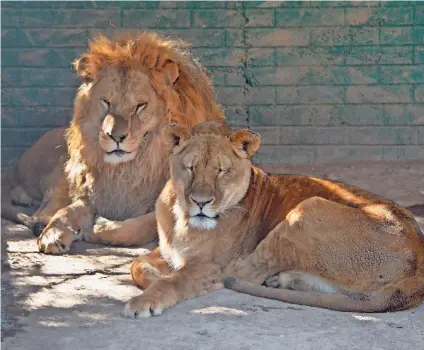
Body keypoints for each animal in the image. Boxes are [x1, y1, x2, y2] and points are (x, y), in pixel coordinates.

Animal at [0, 31, 225, 253]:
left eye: (140, 106)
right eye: (106, 102)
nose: (115, 137)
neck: (130, 169)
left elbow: (140, 227)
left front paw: (95, 229)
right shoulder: (92, 193)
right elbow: (66, 211)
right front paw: (53, 233)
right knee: (41, 204)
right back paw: (40, 221)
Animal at [121, 122, 422, 318]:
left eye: (222, 170)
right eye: (190, 167)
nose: (201, 202)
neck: (181, 218)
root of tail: (419, 257)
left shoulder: (207, 264)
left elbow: (176, 279)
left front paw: (147, 298)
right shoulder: (166, 249)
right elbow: (137, 264)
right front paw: (151, 275)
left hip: (306, 209)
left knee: (241, 273)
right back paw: (283, 281)